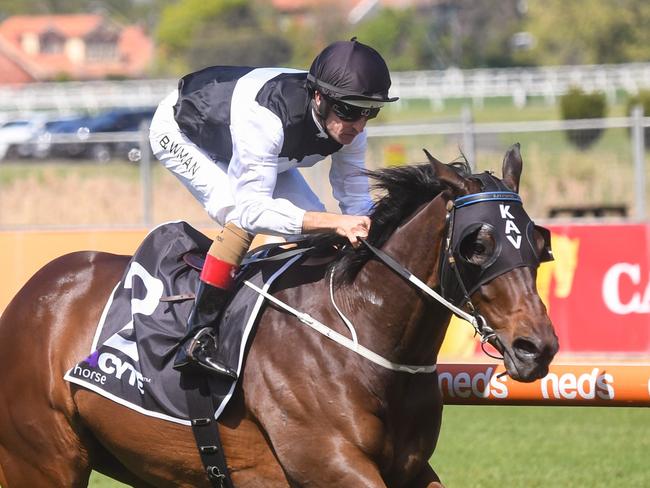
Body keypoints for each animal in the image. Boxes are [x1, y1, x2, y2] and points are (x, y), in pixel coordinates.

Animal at [0, 143, 556, 486]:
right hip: (44, 463)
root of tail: (28, 299)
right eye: (478, 245)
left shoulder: (411, 469)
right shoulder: (329, 465)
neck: (360, 337)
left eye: (537, 240)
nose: (538, 346)